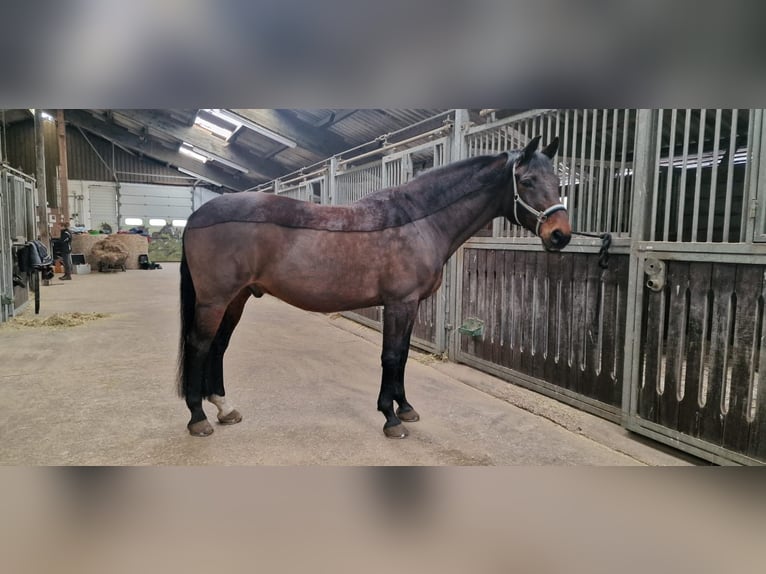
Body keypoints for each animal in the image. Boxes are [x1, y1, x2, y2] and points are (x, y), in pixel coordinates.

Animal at [177, 135, 571, 438]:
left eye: (558, 182)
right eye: (527, 180)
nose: (561, 235)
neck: (419, 221)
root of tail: (196, 216)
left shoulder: (411, 305)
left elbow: (404, 355)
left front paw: (406, 407)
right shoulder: (398, 303)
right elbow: (391, 356)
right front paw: (391, 418)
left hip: (236, 298)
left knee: (219, 346)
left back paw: (225, 408)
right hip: (214, 300)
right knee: (199, 346)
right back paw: (198, 418)